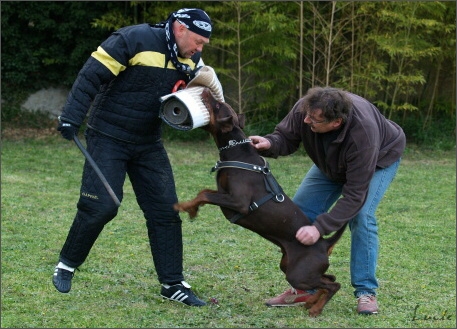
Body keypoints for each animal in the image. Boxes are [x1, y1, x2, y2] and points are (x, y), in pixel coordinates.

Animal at [174, 86, 346, 316]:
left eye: (216, 105)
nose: (205, 90)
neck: (236, 150)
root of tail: (324, 243)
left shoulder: (239, 202)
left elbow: (204, 193)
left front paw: (184, 207)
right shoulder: (223, 193)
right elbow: (205, 192)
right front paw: (193, 209)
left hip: (298, 273)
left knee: (334, 284)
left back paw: (316, 309)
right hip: (291, 266)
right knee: (329, 278)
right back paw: (311, 301)